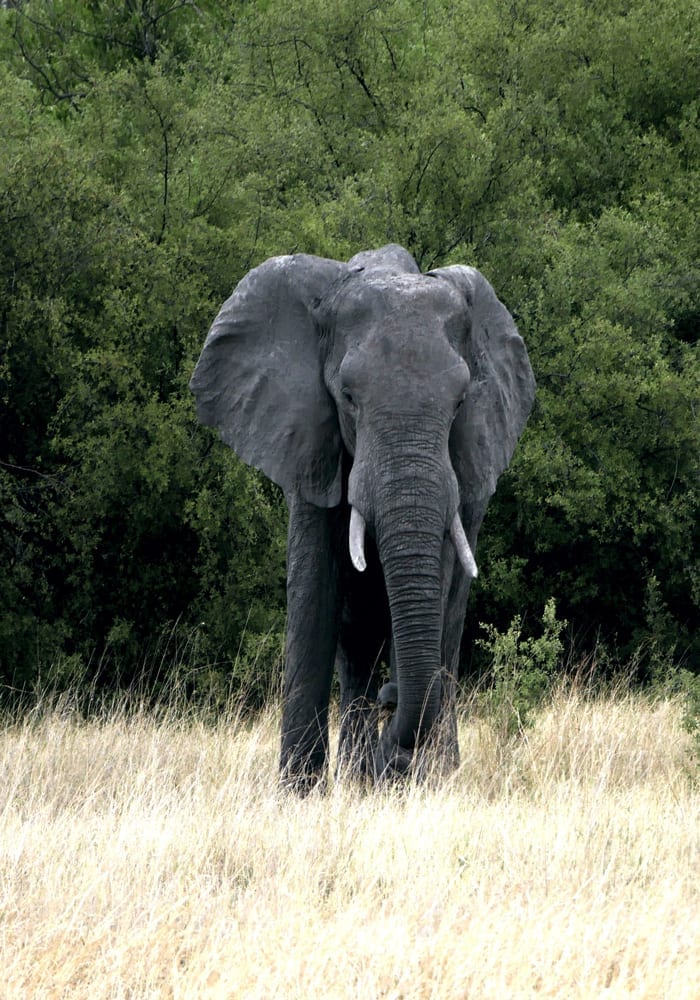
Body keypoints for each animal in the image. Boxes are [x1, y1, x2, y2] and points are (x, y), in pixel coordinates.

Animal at [190, 244, 535, 789]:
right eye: (348, 397)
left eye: (461, 401)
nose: (391, 703)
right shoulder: (309, 440)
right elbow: (315, 591)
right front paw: (298, 791)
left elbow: (435, 589)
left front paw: (410, 779)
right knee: (357, 638)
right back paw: (359, 775)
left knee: (444, 622)